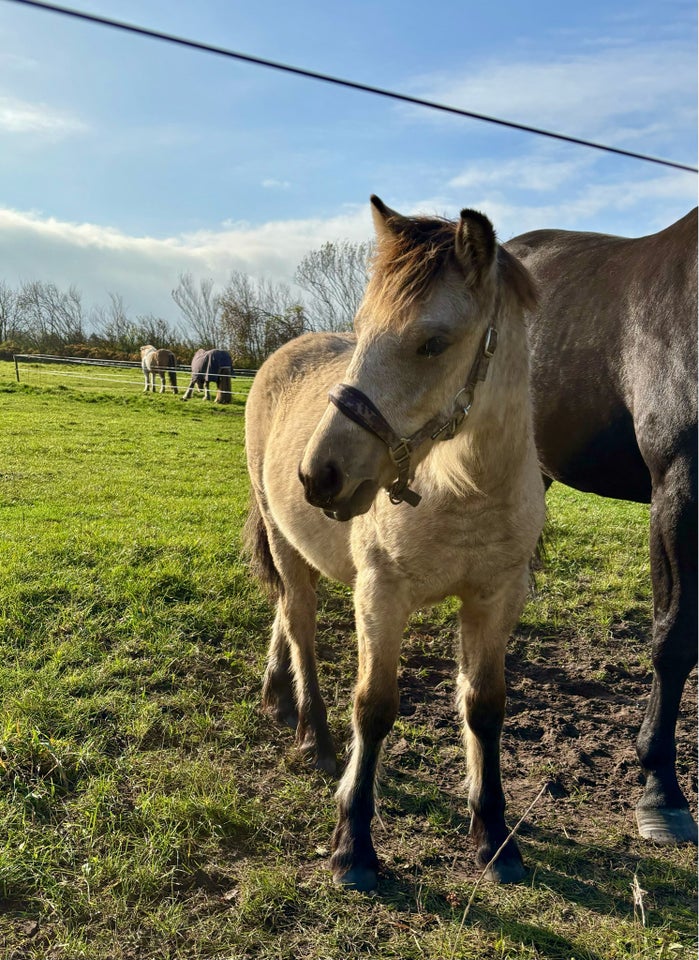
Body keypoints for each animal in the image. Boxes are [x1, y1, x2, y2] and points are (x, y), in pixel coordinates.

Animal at [246, 195, 548, 892]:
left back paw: (278, 696)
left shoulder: (495, 598)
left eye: (432, 343)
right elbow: (375, 708)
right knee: (299, 623)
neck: (464, 492)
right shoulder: (381, 596)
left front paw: (494, 836)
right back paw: (313, 735)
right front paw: (353, 845)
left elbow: (484, 707)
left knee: (283, 615)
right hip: (282, 538)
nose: (318, 474)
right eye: (362, 330)